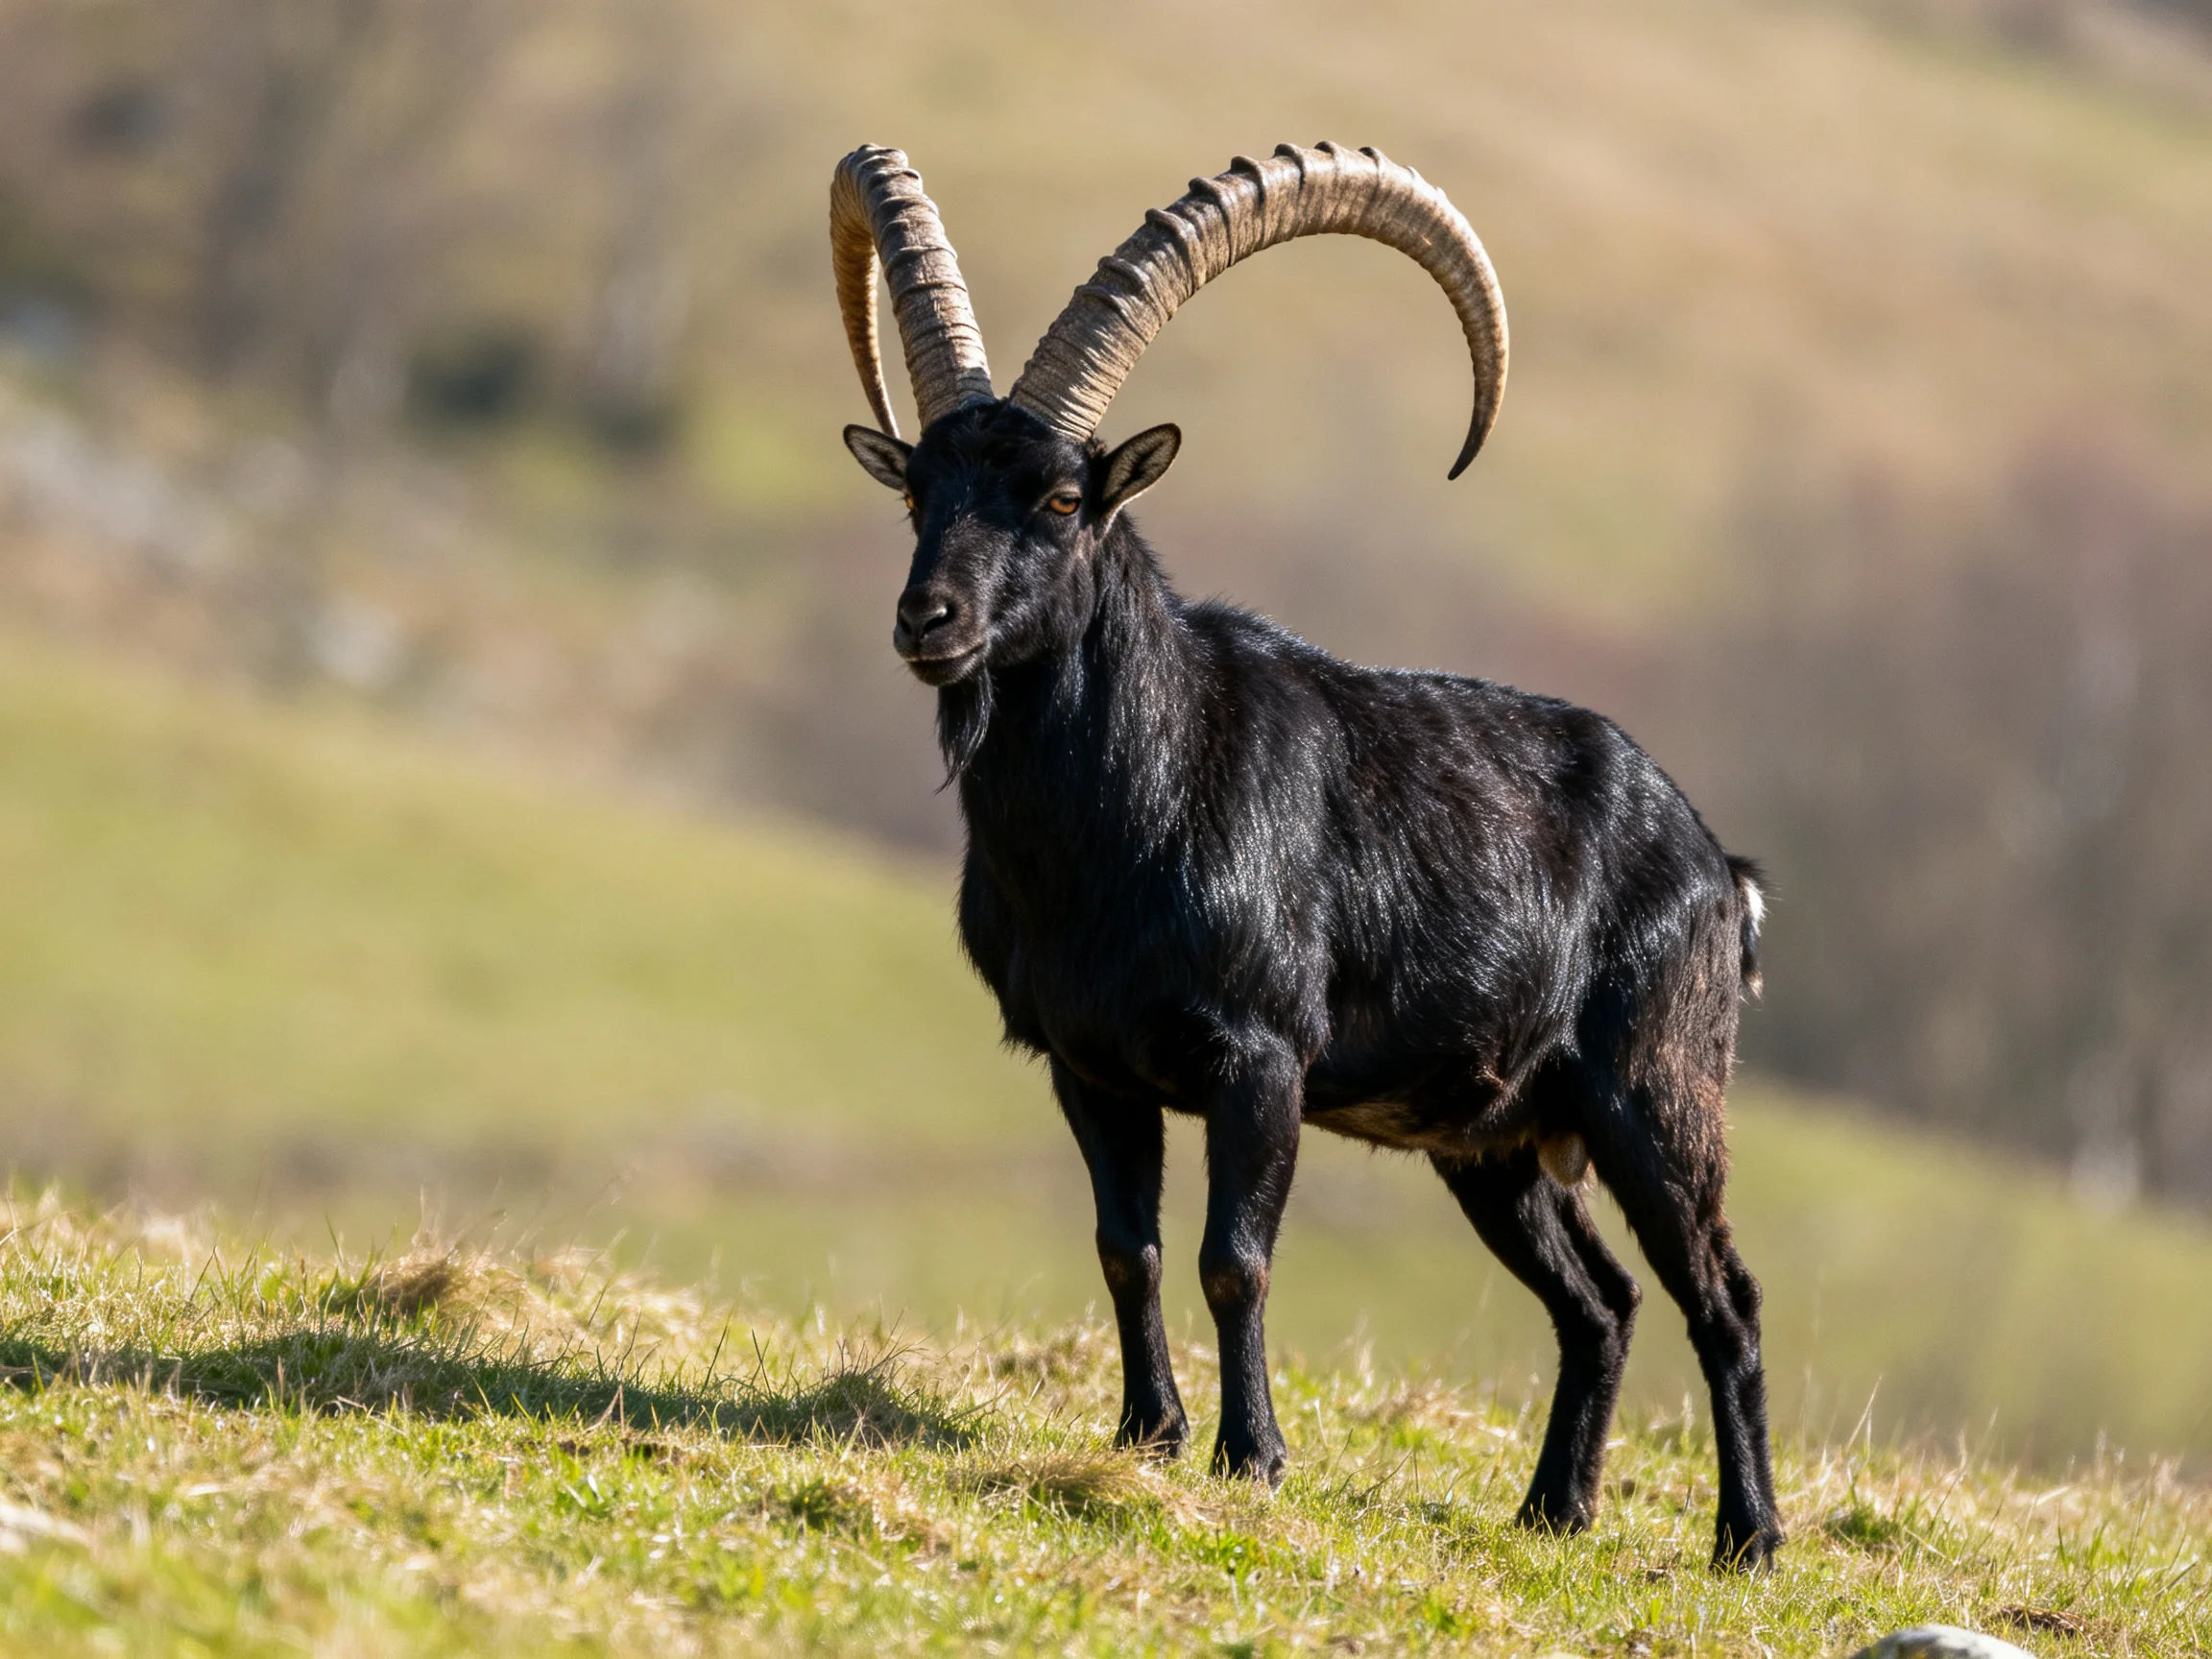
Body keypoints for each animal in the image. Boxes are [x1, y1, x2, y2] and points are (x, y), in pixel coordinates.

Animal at [829, 143, 1784, 1569]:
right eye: (916, 489)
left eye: (1061, 498)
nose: (927, 620)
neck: (1122, 819)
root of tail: (1719, 871)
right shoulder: (1087, 1066)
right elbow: (1128, 1248)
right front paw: (1147, 1436)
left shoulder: (1260, 1060)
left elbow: (1237, 1257)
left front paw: (1254, 1456)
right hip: (1494, 1145)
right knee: (1601, 1299)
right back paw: (1553, 1510)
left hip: (1655, 1098)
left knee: (1723, 1293)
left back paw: (1749, 1537)